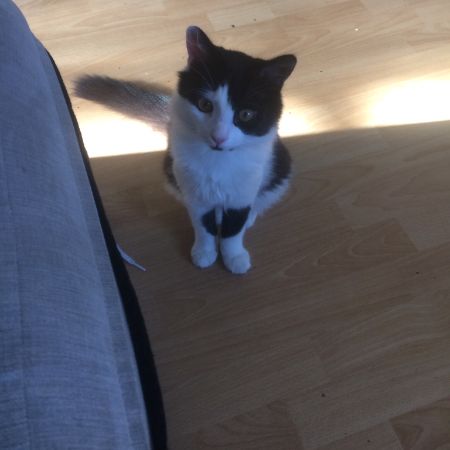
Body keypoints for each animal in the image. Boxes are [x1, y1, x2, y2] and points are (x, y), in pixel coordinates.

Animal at [75, 26, 296, 274]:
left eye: (246, 114)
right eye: (205, 105)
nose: (219, 137)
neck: (218, 160)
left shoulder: (244, 190)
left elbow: (233, 230)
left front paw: (234, 257)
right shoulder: (193, 189)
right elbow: (202, 226)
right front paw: (204, 252)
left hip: (280, 168)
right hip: (171, 170)